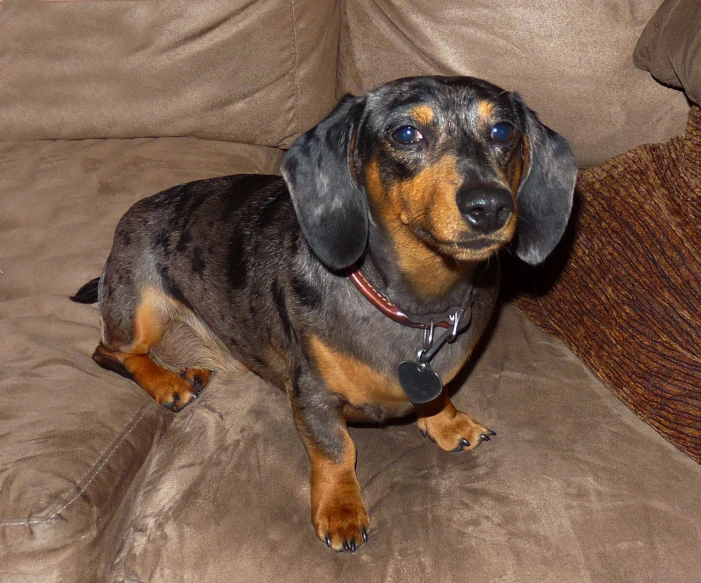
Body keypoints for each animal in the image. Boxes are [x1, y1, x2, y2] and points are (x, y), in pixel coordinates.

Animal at [72, 76, 576, 552]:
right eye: (406, 133)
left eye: (503, 130)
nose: (490, 206)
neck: (420, 305)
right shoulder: (311, 394)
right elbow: (337, 452)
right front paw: (341, 512)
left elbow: (436, 395)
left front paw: (448, 422)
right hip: (140, 303)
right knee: (111, 352)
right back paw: (168, 383)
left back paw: (189, 371)